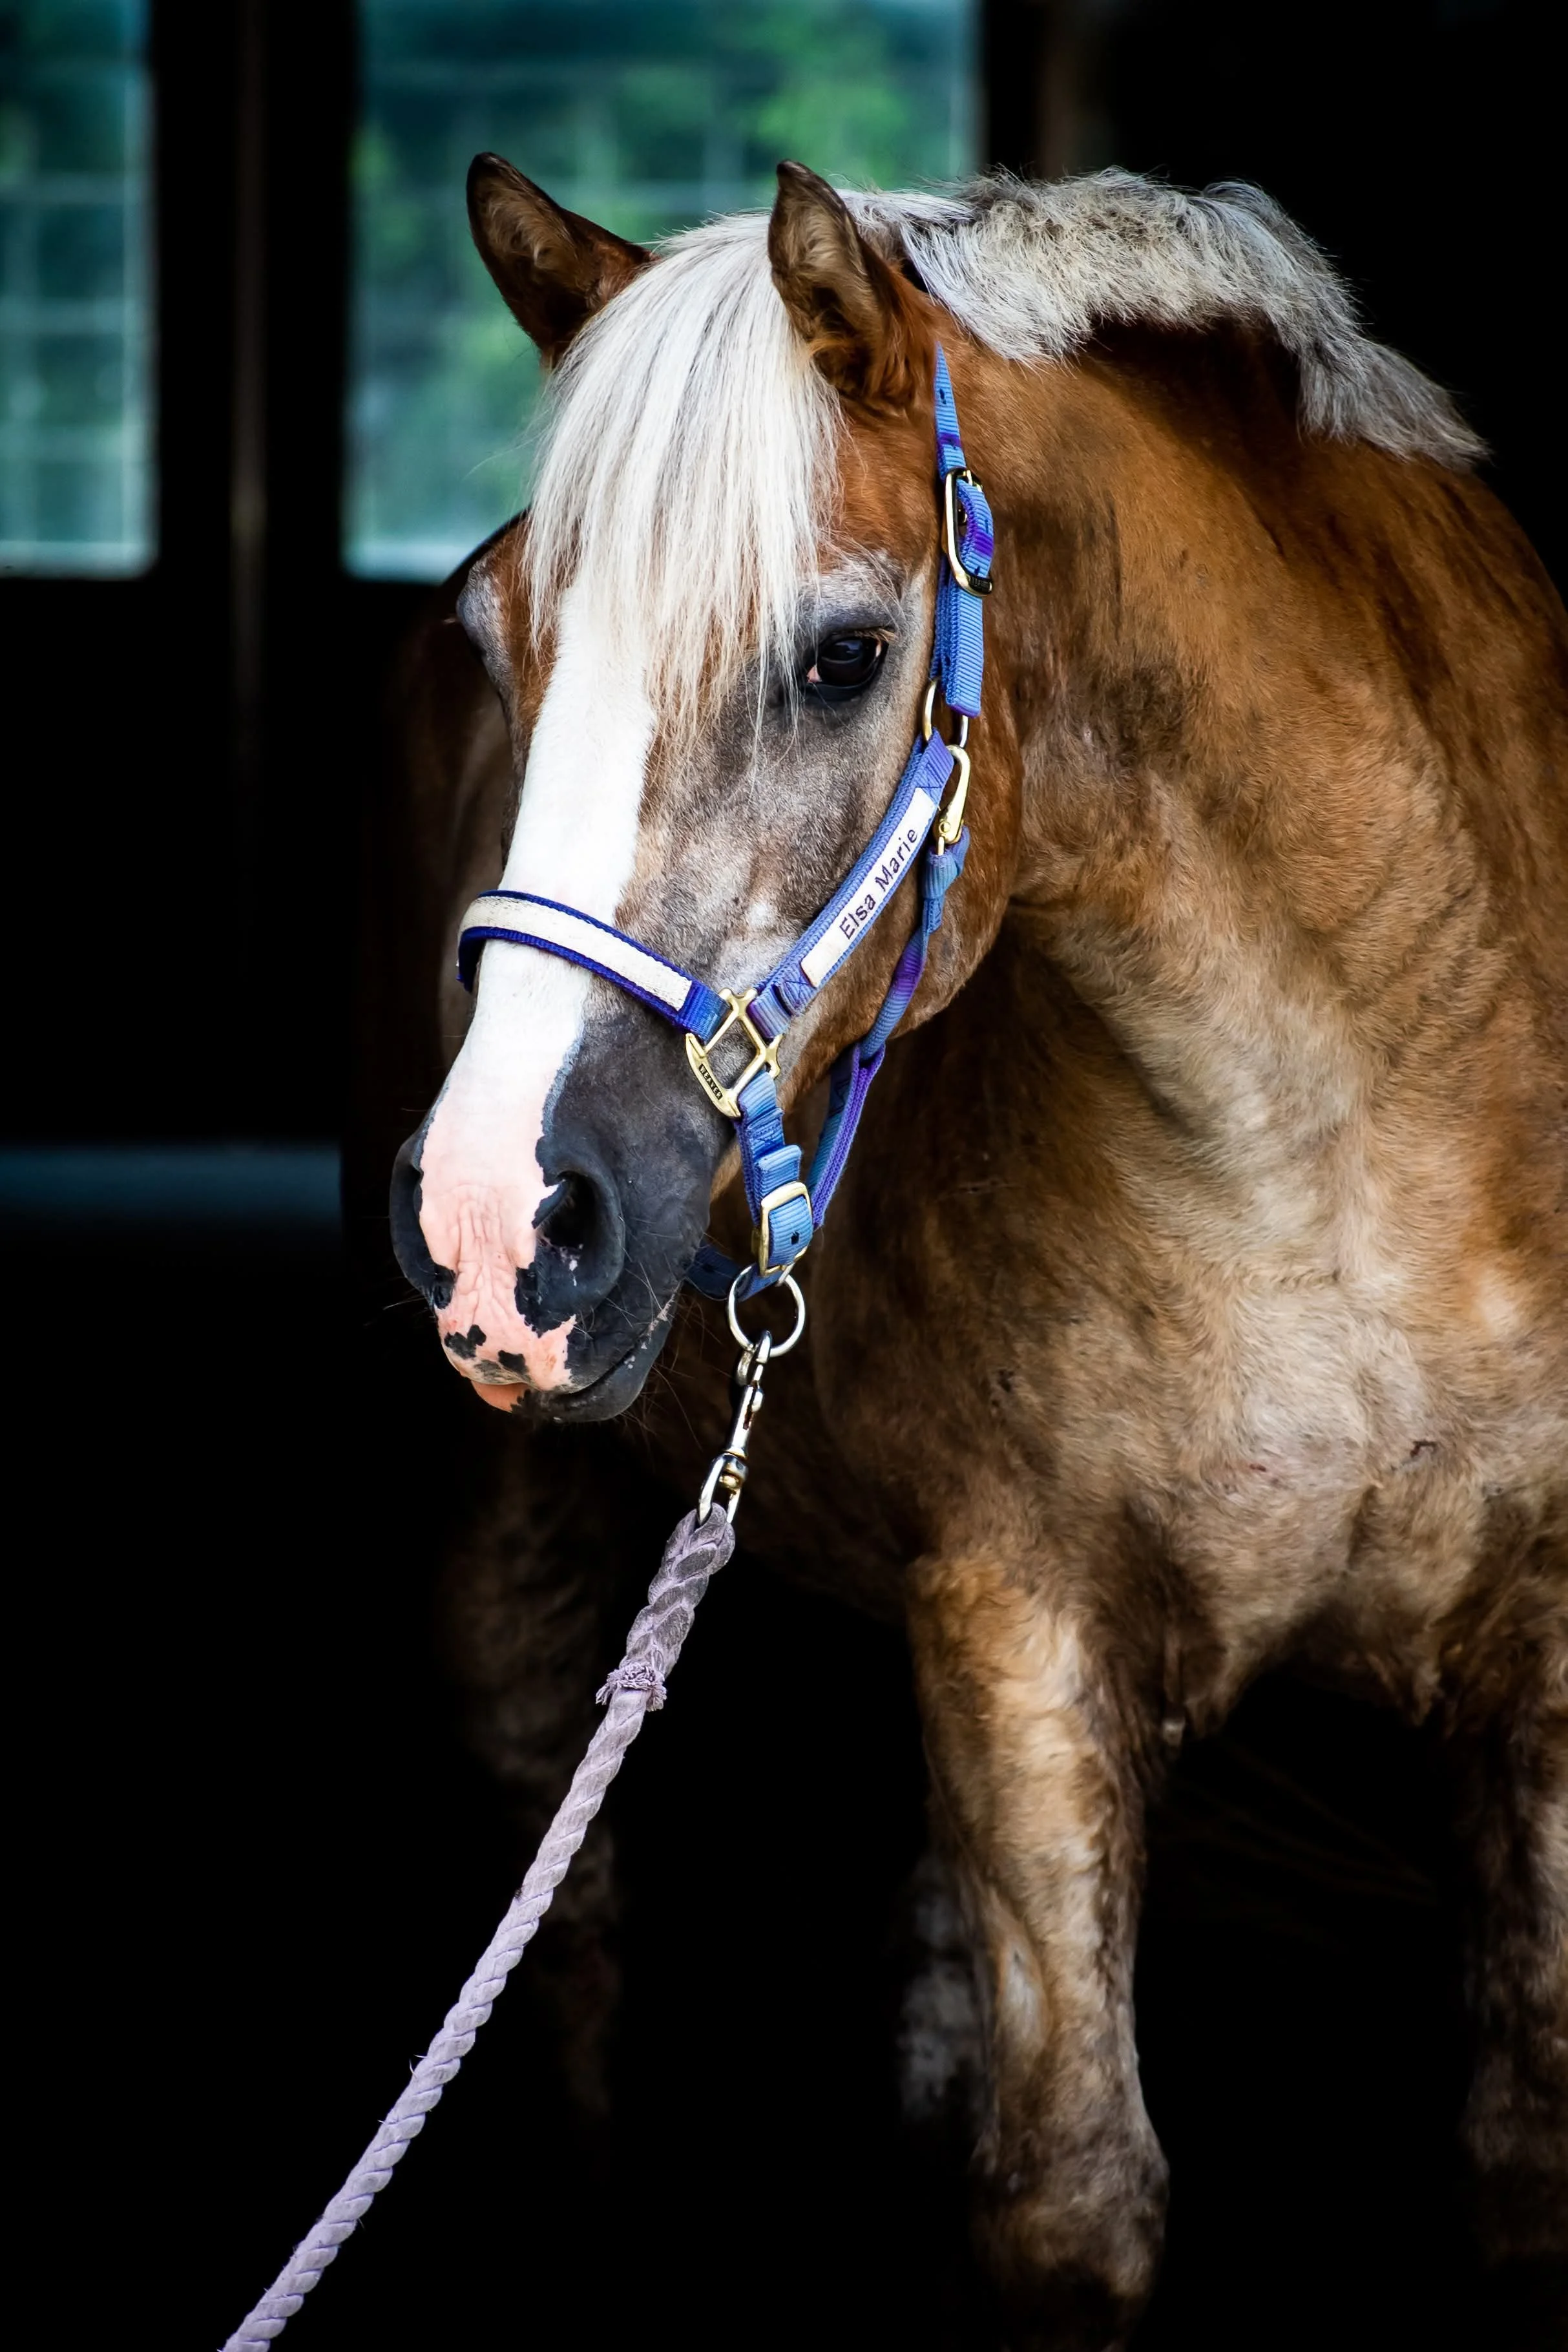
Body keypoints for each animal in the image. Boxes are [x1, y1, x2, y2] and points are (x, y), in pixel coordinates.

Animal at [355, 155, 1568, 2348]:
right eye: (494, 633)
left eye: (840, 660)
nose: (491, 1220)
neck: (1332, 1139)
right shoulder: (1025, 1621)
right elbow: (1074, 2196)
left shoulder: (1540, 1666)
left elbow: (1521, 2148)